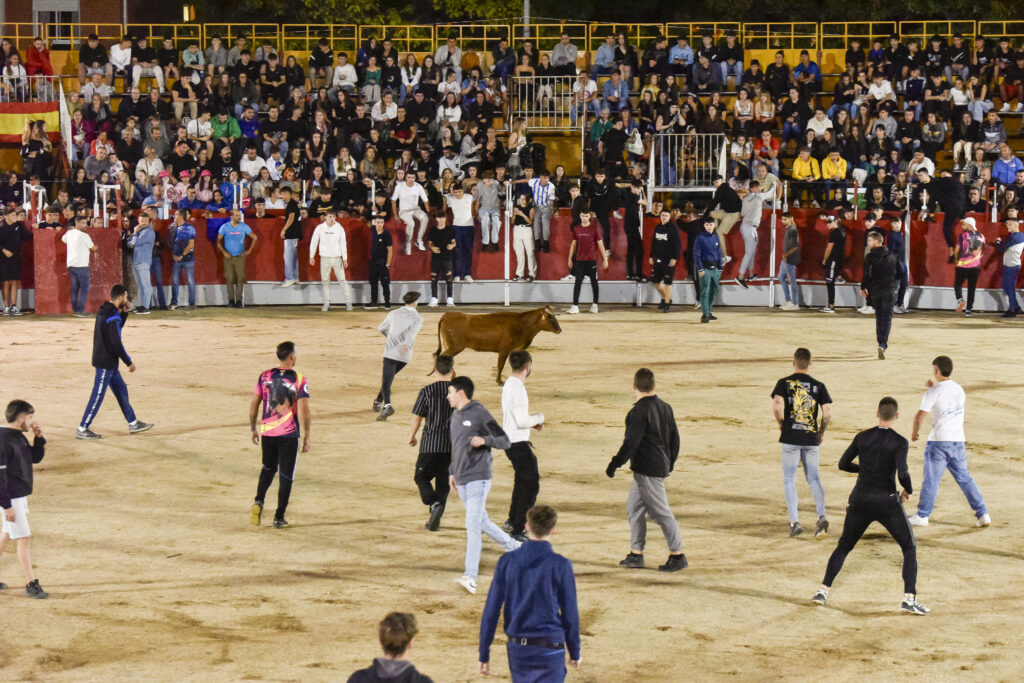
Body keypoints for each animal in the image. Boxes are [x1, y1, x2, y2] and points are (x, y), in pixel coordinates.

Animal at [432, 305, 561, 382]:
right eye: (550, 316)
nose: (560, 330)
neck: (521, 324)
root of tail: (446, 315)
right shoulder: (504, 350)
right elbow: (500, 365)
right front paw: (499, 381)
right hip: (454, 347)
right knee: (442, 357)